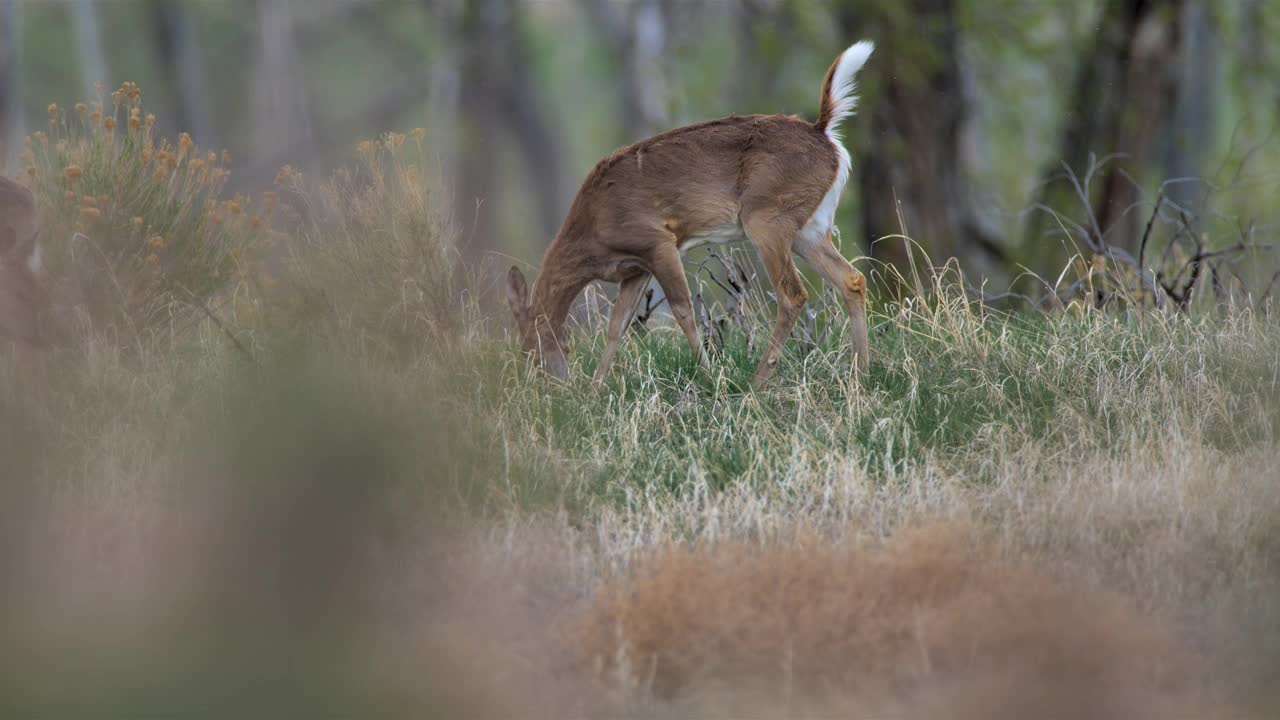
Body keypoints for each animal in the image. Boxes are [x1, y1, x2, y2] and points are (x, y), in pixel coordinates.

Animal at [504, 39, 875, 386]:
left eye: (530, 346)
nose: (551, 385)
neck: (591, 234)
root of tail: (825, 134)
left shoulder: (658, 241)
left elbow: (683, 311)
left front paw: (709, 375)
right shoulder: (635, 268)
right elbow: (617, 325)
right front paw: (596, 390)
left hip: (767, 218)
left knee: (793, 296)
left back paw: (757, 381)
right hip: (809, 228)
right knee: (852, 279)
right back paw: (861, 373)